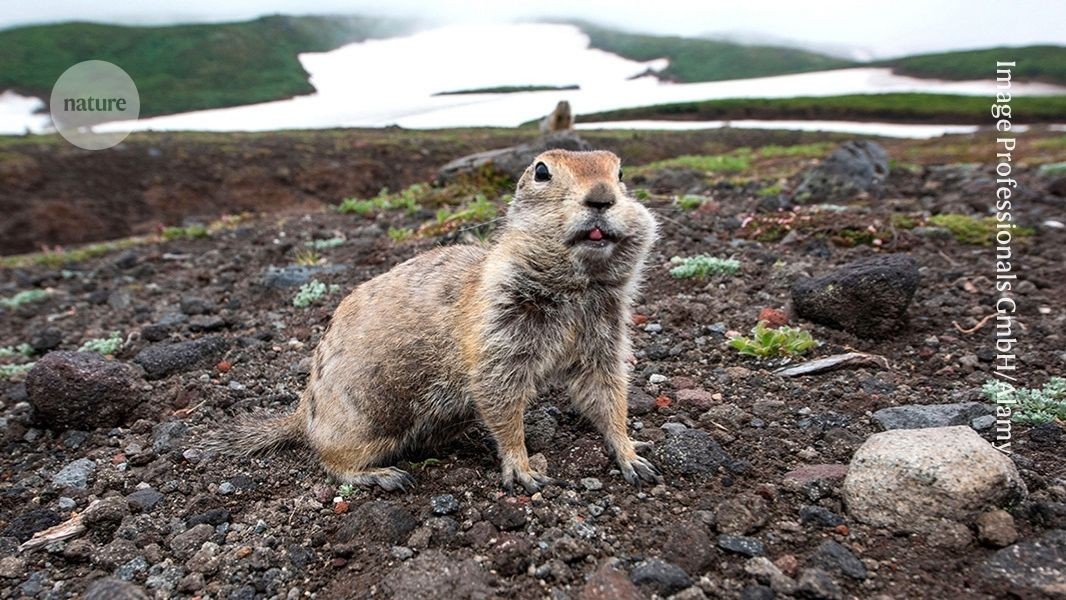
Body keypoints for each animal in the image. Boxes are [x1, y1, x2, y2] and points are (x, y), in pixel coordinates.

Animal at [223, 149, 661, 493]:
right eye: (541, 171)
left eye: (621, 172)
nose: (602, 197)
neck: (577, 287)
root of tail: (302, 414)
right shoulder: (498, 329)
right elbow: (498, 393)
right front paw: (523, 468)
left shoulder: (603, 331)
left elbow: (605, 390)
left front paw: (633, 455)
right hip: (367, 417)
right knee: (329, 460)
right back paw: (383, 474)